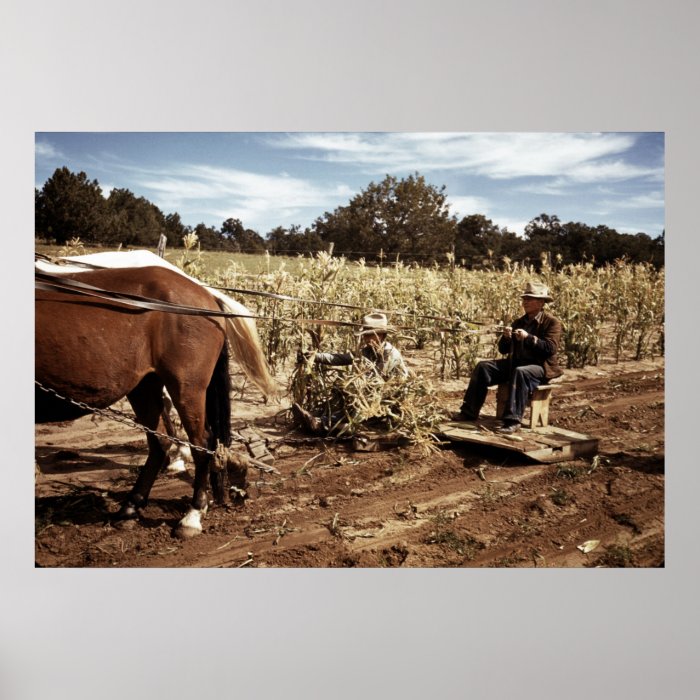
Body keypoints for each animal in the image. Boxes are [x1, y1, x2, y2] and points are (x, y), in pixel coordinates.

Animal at [35, 266, 276, 540]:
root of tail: (206, 294)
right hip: (145, 385)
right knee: (161, 441)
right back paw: (131, 507)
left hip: (187, 386)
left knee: (201, 443)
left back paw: (192, 516)